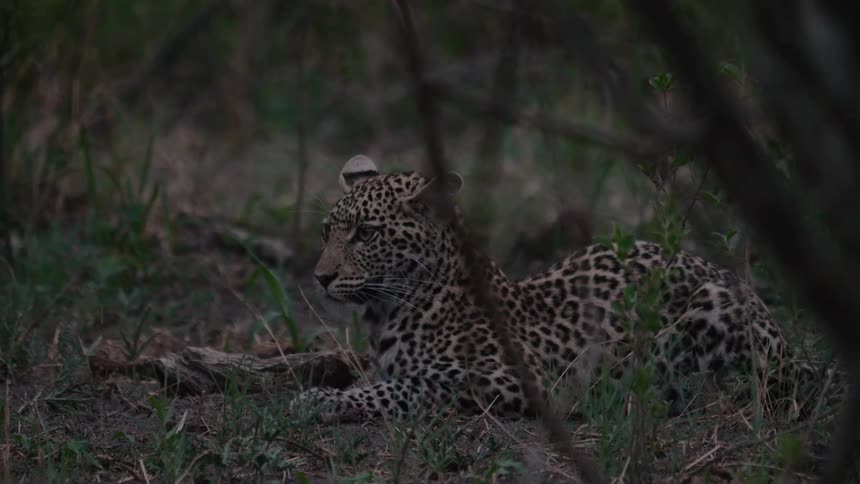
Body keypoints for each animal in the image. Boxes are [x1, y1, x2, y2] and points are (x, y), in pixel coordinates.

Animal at [296, 154, 819, 422]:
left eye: (366, 233)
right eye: (326, 231)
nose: (321, 277)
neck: (388, 311)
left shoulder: (508, 376)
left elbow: (402, 386)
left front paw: (323, 401)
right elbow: (382, 380)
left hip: (709, 312)